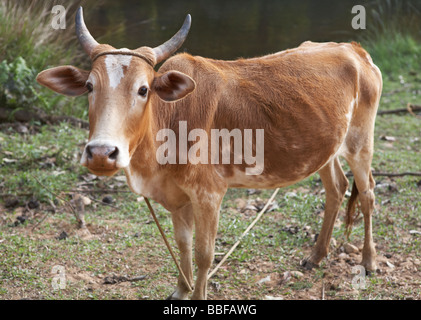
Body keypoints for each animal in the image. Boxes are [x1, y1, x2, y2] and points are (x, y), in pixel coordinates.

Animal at [37, 8, 382, 300]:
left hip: (360, 141)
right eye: (90, 86)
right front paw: (181, 291)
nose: (101, 153)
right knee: (336, 188)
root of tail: (353, 49)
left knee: (367, 193)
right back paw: (316, 255)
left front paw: (198, 294)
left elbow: (204, 253)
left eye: (143, 89)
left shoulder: (209, 194)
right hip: (326, 149)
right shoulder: (178, 198)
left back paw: (369, 261)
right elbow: (183, 246)